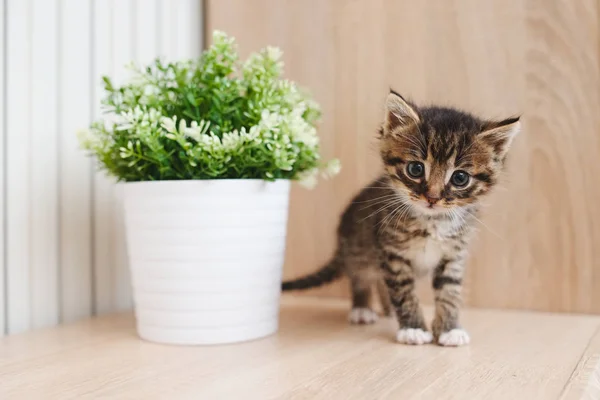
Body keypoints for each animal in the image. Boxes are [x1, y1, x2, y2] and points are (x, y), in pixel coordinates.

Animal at [282, 89, 520, 346]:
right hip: (359, 247)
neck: (432, 221)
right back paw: (362, 308)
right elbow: (404, 293)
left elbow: (450, 292)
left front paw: (449, 328)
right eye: (415, 169)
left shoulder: (454, 254)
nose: (432, 197)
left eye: (460, 178)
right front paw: (413, 328)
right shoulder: (392, 253)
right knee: (361, 277)